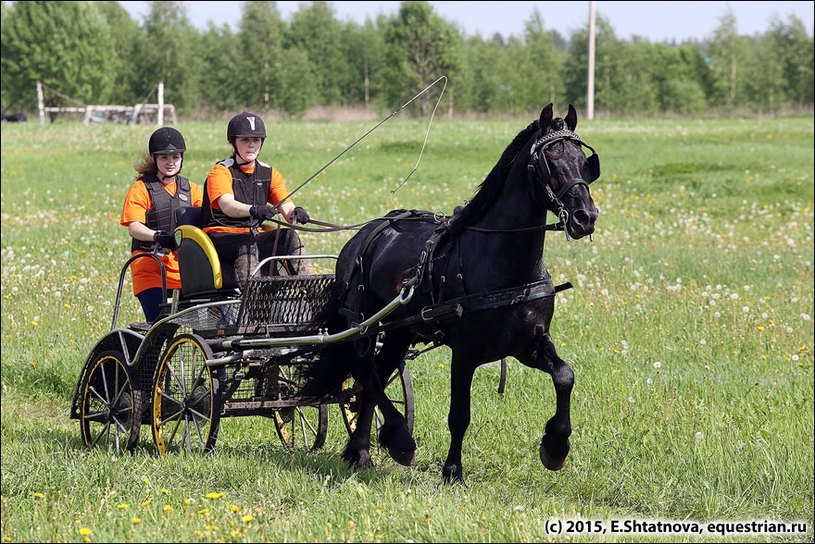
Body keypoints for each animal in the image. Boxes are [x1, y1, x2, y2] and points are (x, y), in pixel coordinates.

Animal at [306, 104, 600, 482]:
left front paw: (556, 446)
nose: (585, 217)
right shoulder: (465, 352)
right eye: (550, 158)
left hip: (399, 332)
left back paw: (361, 452)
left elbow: (565, 376)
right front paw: (452, 470)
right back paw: (399, 438)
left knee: (374, 378)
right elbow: (459, 414)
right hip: (363, 327)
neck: (505, 265)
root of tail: (363, 234)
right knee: (365, 375)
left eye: (584, 160)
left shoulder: (529, 343)